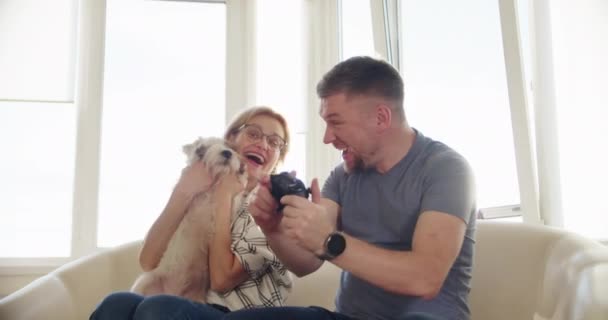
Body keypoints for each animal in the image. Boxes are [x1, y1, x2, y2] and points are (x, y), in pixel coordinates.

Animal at [131, 137, 247, 302]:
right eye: (201, 149)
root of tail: (173, 293)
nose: (227, 153)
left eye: (230, 147)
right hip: (144, 283)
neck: (210, 191)